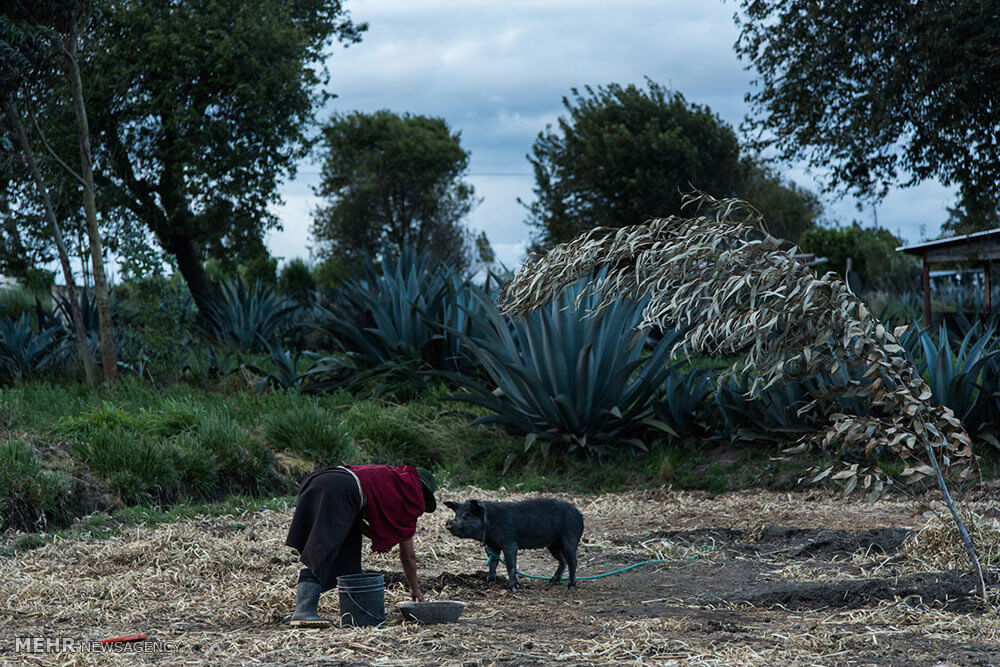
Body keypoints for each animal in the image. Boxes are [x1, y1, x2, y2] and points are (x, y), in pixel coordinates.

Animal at [446, 498, 584, 592]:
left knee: (573, 561)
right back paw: (552, 582)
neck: (489, 524)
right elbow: (493, 563)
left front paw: (514, 588)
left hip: (570, 537)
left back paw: (570, 586)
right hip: (553, 544)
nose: (449, 522)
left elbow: (510, 565)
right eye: (456, 514)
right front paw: (489, 581)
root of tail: (579, 514)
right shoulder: (493, 545)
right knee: (563, 561)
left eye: (467, 515)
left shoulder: (509, 542)